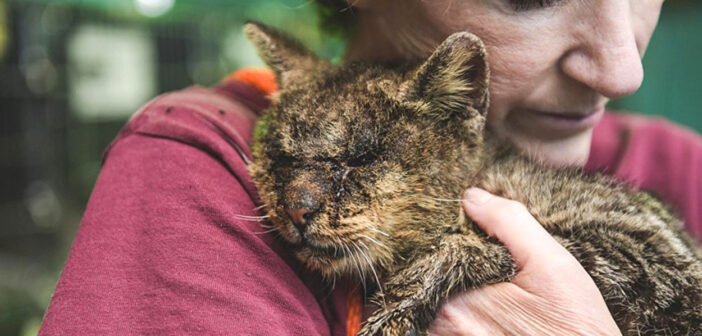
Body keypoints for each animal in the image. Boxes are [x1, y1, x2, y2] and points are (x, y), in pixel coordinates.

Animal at [245, 22, 700, 334]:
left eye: (363, 158)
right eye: (281, 157)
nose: (297, 208)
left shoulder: (660, 261)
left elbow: (473, 244)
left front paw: (399, 306)